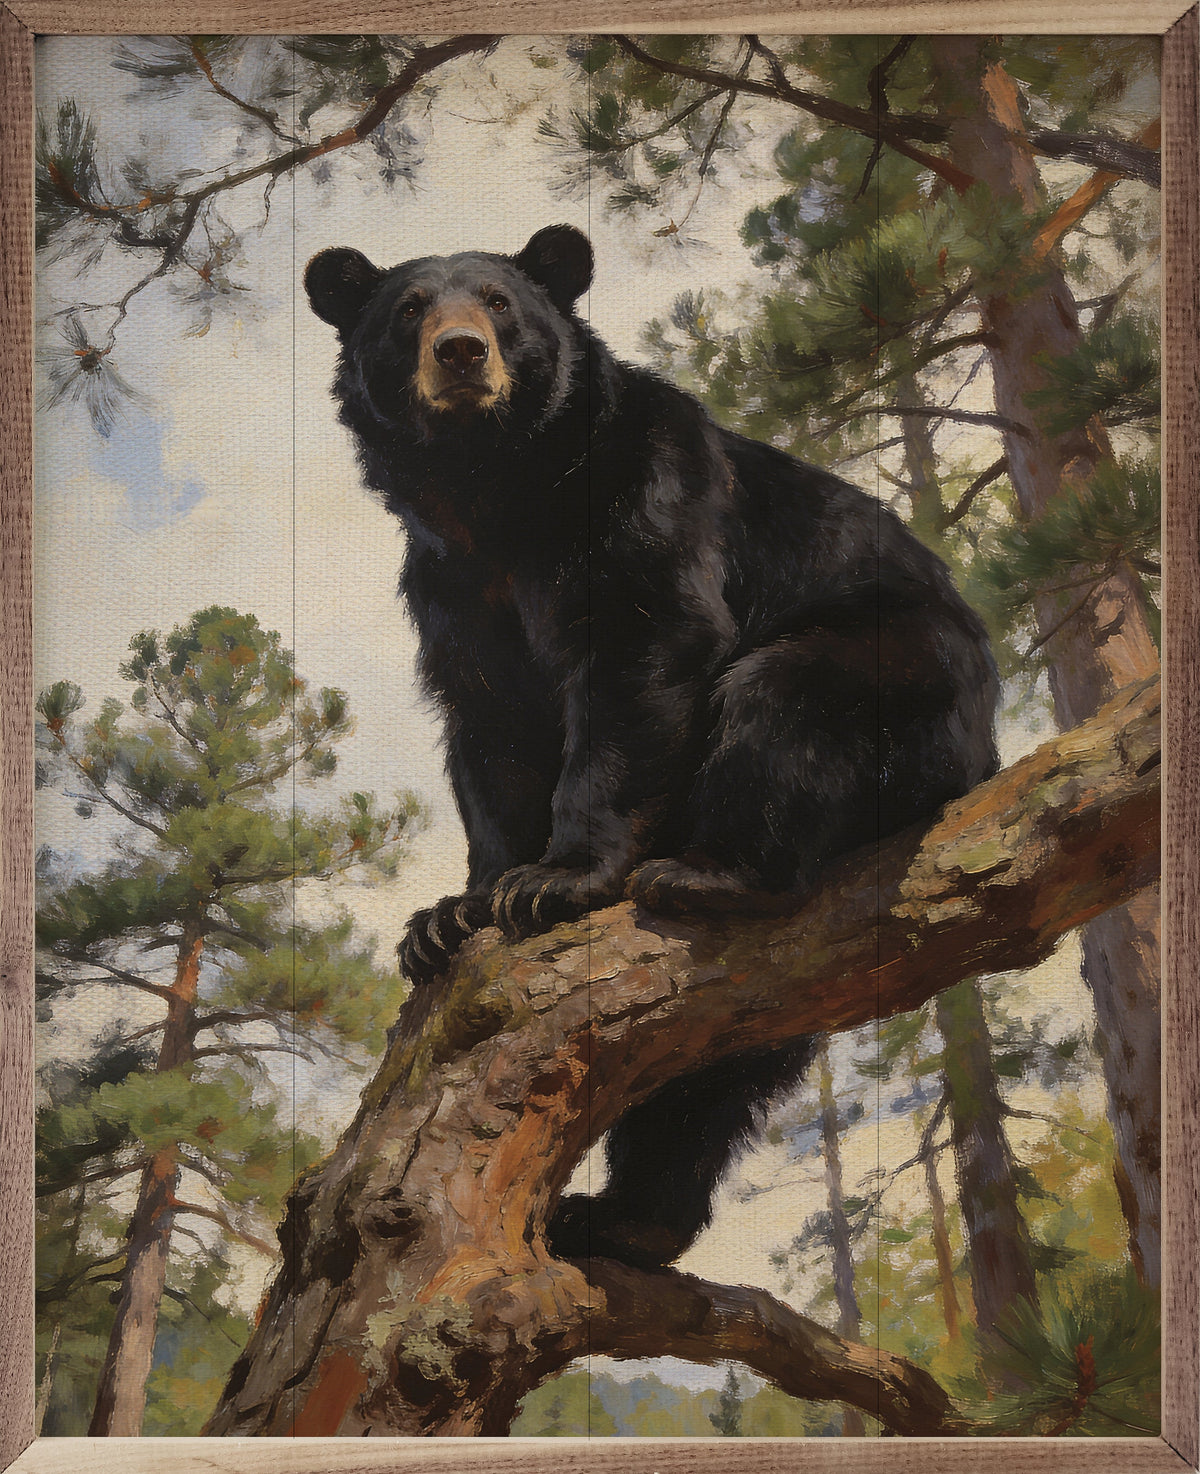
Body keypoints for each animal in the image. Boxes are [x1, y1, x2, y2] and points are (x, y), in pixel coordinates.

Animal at [305, 224, 999, 1270]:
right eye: (408, 309)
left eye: (500, 303)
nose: (461, 353)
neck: (498, 492)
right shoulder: (452, 589)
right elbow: (491, 737)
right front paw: (450, 914)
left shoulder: (644, 501)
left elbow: (641, 656)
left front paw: (554, 880)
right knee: (713, 1077)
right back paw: (626, 1217)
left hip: (898, 679)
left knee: (778, 705)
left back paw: (710, 873)